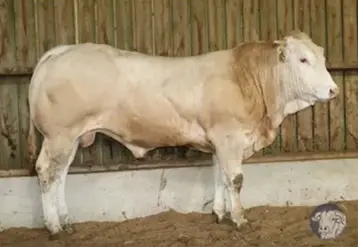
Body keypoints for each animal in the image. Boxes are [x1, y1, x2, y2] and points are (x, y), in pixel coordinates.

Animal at [27, 29, 338, 238]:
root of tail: (62, 51)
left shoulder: (219, 143)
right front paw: (239, 219)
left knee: (61, 175)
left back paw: (66, 221)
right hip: (59, 136)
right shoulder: (229, 138)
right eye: (302, 59)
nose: (333, 90)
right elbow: (235, 180)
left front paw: (219, 213)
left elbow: (220, 176)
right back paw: (54, 227)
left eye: (322, 56)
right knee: (46, 172)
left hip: (71, 138)